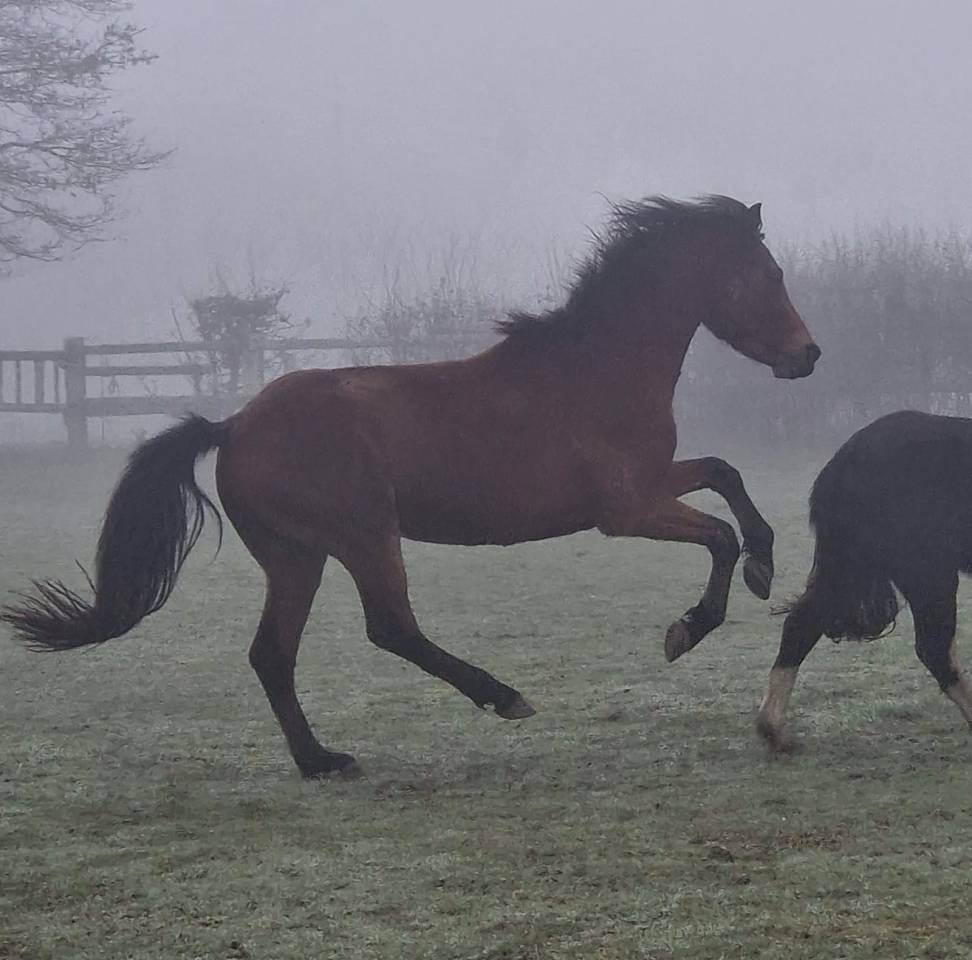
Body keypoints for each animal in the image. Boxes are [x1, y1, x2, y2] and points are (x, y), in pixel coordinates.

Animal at [3, 195, 819, 778]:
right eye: (771, 275)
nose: (808, 355)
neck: (595, 367)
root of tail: (233, 426)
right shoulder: (625, 508)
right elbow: (718, 532)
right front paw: (691, 626)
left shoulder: (653, 483)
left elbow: (725, 476)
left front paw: (764, 562)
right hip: (365, 534)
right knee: (389, 626)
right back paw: (504, 698)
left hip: (296, 556)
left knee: (273, 653)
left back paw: (321, 762)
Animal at [757, 410, 972, 752]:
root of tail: (839, 466)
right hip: (925, 570)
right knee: (934, 647)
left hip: (849, 563)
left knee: (800, 624)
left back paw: (772, 728)